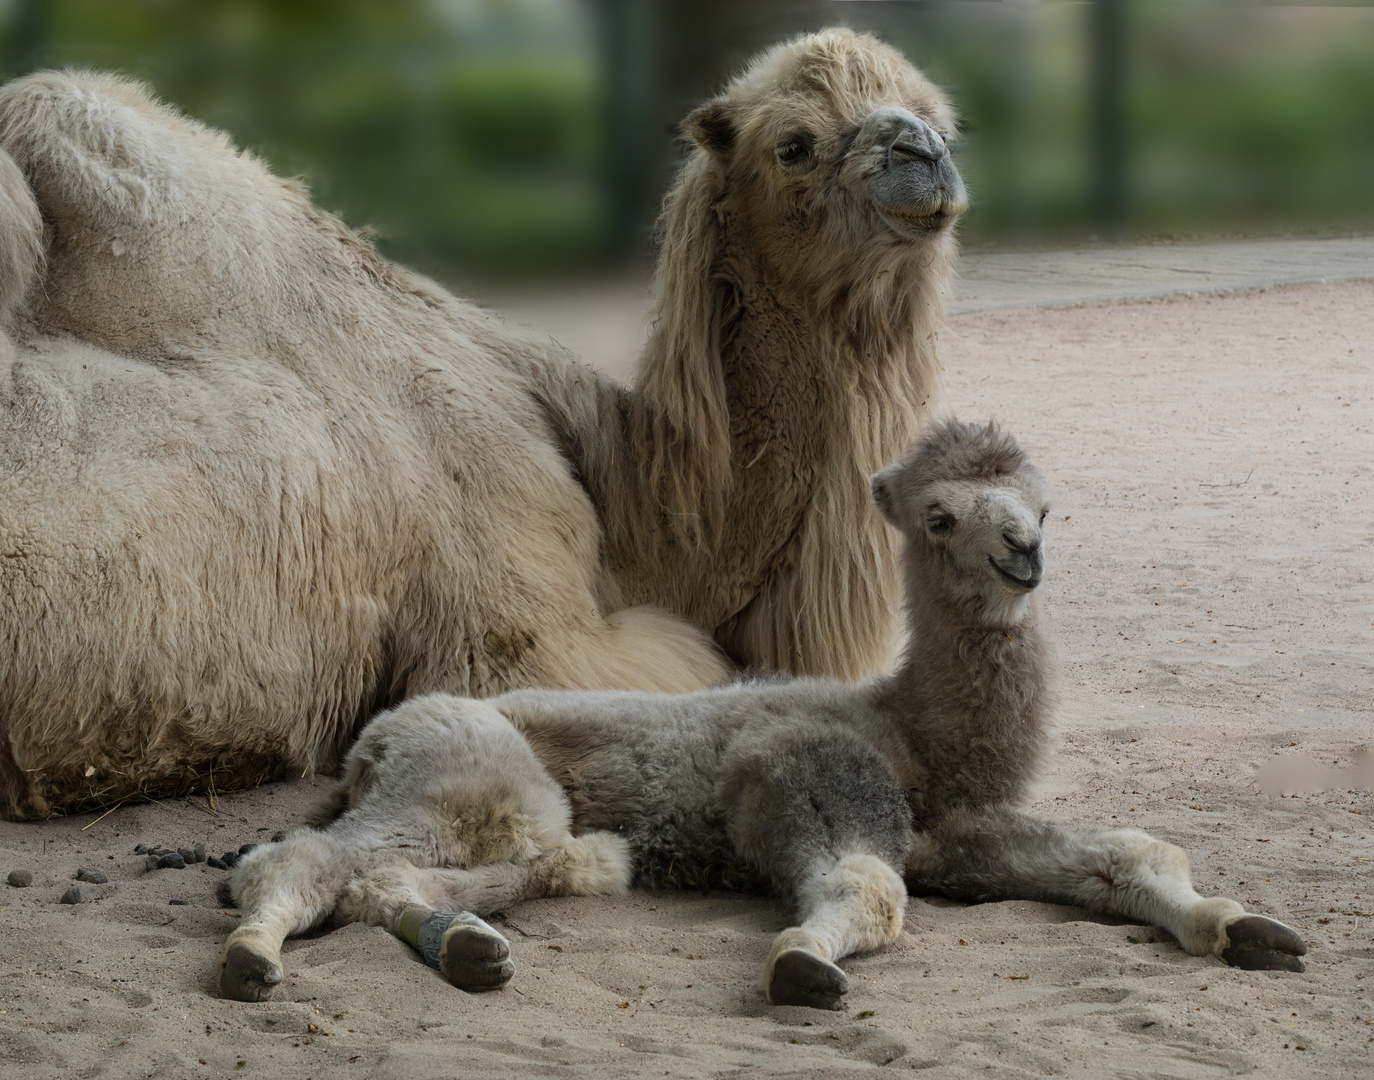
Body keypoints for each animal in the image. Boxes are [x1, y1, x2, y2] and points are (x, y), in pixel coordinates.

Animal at [219, 417, 1302, 1000]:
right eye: (938, 515)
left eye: (1044, 504)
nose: (1022, 556)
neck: (910, 731)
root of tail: (371, 741)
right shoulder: (802, 778)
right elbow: (870, 890)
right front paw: (804, 966)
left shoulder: (955, 829)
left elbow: (1129, 850)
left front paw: (1249, 930)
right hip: (475, 778)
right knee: (302, 861)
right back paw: (251, 959)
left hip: (492, 812)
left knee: (410, 877)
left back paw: (471, 948)